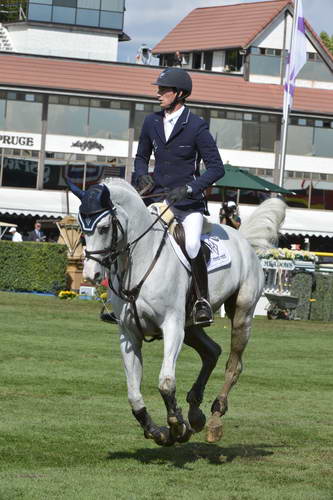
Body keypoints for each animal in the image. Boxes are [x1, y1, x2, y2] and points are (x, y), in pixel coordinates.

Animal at [68, 179, 284, 446]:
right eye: (81, 227)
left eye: (104, 227)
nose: (91, 274)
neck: (140, 259)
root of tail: (241, 239)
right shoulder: (129, 334)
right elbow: (133, 393)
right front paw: (156, 430)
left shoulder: (171, 326)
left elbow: (166, 383)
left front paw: (177, 426)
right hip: (190, 327)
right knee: (212, 351)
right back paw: (195, 411)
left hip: (241, 313)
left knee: (234, 365)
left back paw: (215, 417)